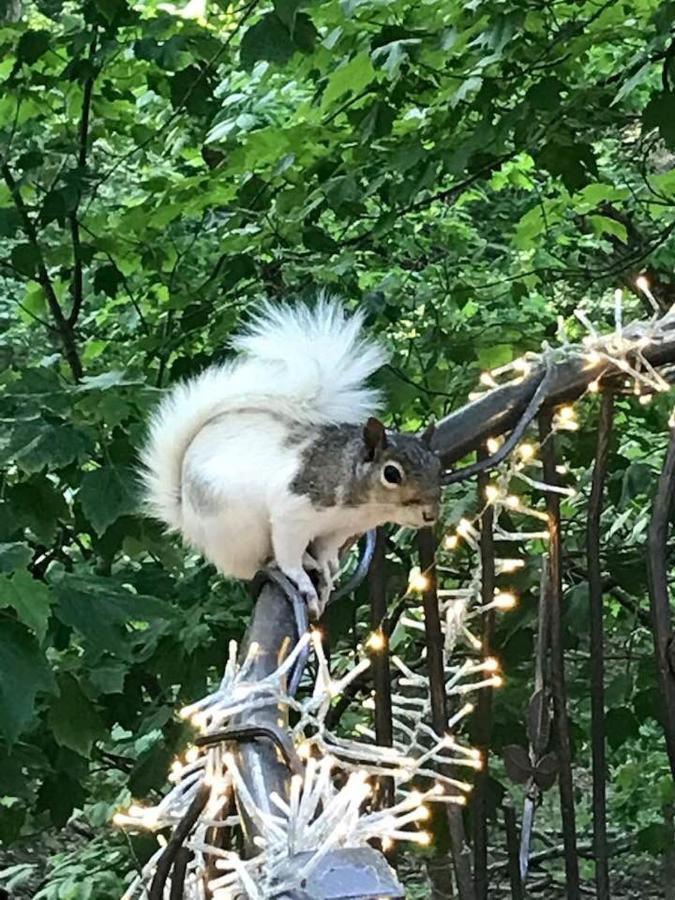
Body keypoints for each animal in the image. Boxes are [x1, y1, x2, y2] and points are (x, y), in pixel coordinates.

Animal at [140, 298, 440, 620]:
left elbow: (326, 550)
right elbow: (289, 556)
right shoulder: (294, 510)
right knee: (250, 566)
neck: (362, 507)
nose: (431, 515)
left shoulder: (337, 530)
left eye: (438, 466)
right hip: (239, 529)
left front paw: (325, 569)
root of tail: (184, 512)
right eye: (391, 474)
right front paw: (301, 579)